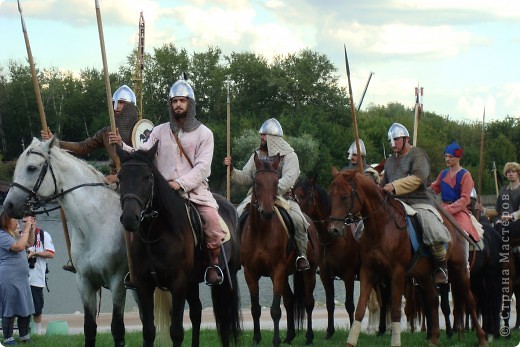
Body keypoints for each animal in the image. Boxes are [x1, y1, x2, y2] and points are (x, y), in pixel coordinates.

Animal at [2, 137, 127, 346]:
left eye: (31, 168)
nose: (8, 206)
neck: (96, 225)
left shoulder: (118, 282)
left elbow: (118, 330)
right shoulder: (85, 282)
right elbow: (89, 328)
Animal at [116, 143, 242, 346]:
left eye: (147, 177)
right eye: (120, 177)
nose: (129, 218)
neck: (156, 234)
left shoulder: (178, 283)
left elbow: (176, 331)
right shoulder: (144, 284)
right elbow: (148, 332)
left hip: (226, 274)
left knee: (224, 317)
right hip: (192, 281)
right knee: (197, 312)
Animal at [241, 154, 320, 346]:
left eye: (276, 183)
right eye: (256, 183)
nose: (267, 212)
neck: (261, 230)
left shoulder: (277, 271)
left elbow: (275, 310)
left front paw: (275, 340)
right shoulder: (250, 273)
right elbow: (255, 308)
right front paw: (256, 338)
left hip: (309, 272)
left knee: (308, 302)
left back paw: (309, 336)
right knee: (290, 300)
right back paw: (290, 335)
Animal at [294, 175, 360, 338]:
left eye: (302, 195)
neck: (333, 238)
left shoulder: (349, 275)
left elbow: (349, 305)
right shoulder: (325, 275)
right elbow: (330, 304)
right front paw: (329, 332)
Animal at [330, 170, 488, 347]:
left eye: (344, 196)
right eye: (331, 195)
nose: (333, 229)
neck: (381, 226)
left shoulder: (397, 273)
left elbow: (395, 310)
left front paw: (395, 342)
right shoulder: (368, 271)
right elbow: (360, 309)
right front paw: (351, 342)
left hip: (459, 269)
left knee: (470, 300)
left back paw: (482, 338)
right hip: (424, 274)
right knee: (433, 299)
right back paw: (434, 339)